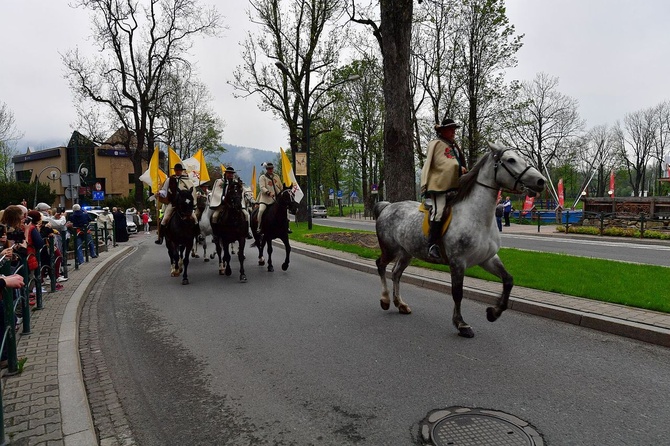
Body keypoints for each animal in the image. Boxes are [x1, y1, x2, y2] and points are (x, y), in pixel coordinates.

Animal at [376, 143, 548, 338]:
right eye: (511, 160)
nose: (541, 181)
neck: (477, 217)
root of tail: (388, 206)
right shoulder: (458, 262)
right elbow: (457, 292)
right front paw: (461, 324)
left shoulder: (488, 259)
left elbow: (508, 281)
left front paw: (493, 312)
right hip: (389, 249)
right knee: (381, 265)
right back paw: (385, 300)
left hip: (406, 253)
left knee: (396, 273)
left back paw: (400, 304)